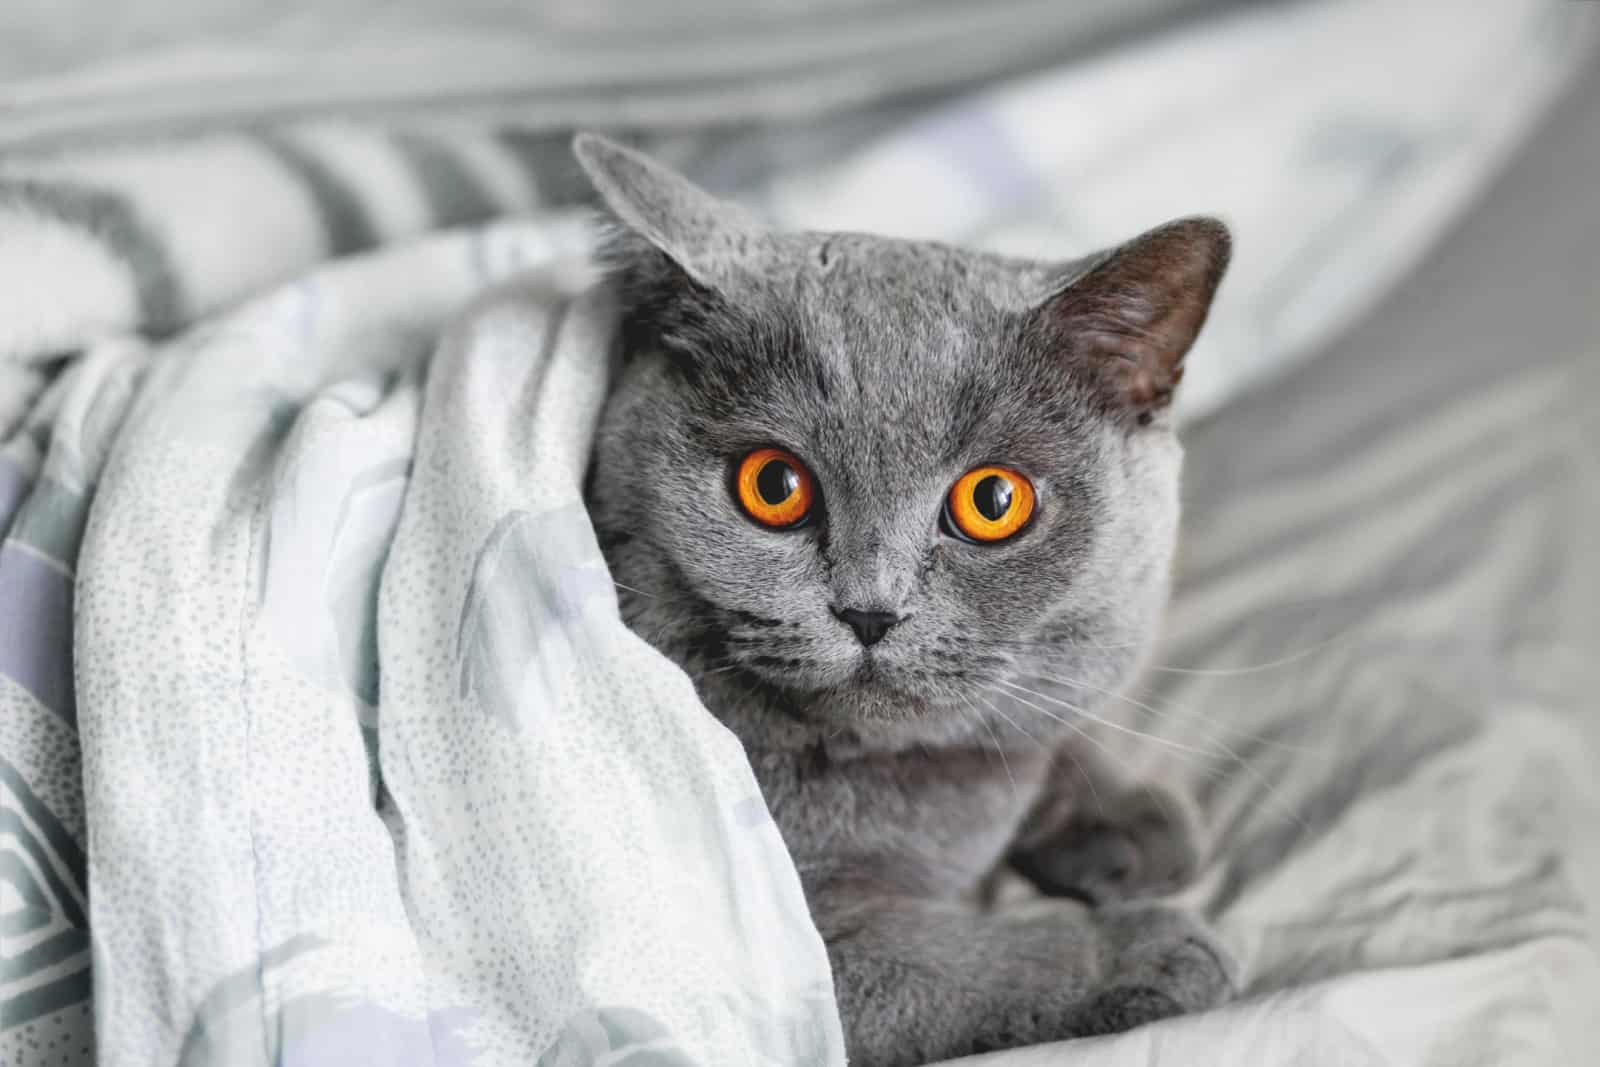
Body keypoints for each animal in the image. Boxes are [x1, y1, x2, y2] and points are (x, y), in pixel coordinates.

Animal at [576, 135, 1235, 1067]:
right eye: (772, 485)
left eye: (994, 501)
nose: (869, 610)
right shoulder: (778, 966)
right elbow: (958, 960)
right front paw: (1146, 944)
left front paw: (1126, 817)